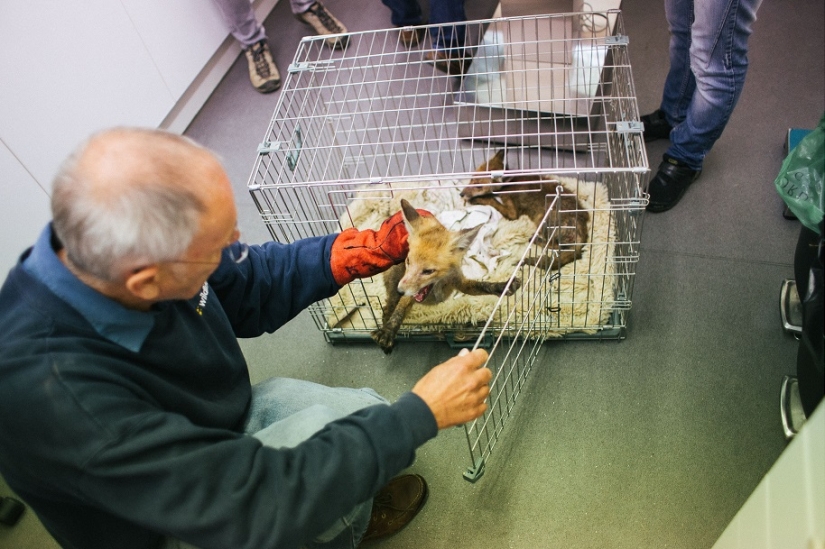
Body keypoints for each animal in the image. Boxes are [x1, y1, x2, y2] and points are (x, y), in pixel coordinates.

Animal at [370, 198, 521, 354]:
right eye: (408, 261)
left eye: (428, 271)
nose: (400, 290)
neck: (437, 288)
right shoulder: (407, 290)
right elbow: (399, 311)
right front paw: (388, 331)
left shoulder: (459, 281)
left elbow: (482, 286)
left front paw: (502, 286)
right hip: (394, 282)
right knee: (387, 308)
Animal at [459, 150, 590, 270]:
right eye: (471, 179)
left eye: (479, 186)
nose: (461, 194)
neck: (508, 185)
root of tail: (582, 231)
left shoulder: (512, 212)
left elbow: (494, 202)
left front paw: (480, 199)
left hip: (542, 219)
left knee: (555, 246)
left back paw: (535, 240)